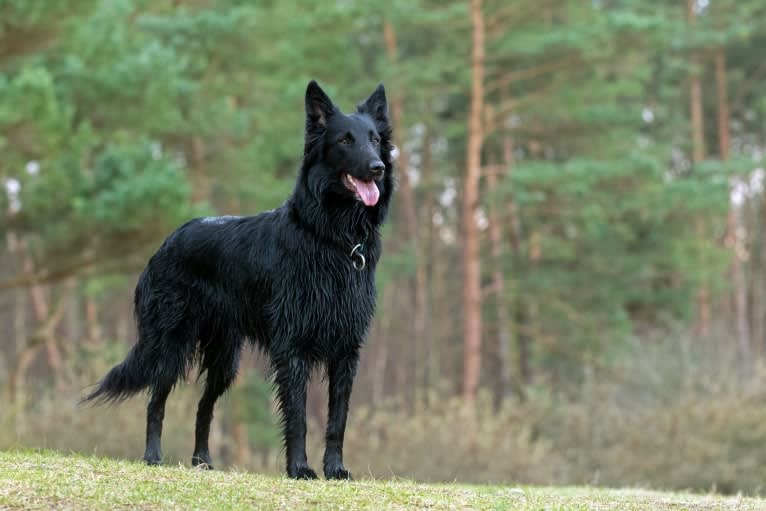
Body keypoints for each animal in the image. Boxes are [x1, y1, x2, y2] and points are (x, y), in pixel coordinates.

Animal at [84, 80, 396, 480]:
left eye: (374, 139)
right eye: (344, 140)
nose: (377, 168)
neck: (334, 239)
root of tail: (168, 241)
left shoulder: (347, 349)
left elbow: (337, 419)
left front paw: (336, 469)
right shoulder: (293, 347)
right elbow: (298, 415)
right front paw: (300, 468)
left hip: (224, 360)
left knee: (203, 406)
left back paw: (203, 461)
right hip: (170, 344)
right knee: (156, 400)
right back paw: (153, 455)